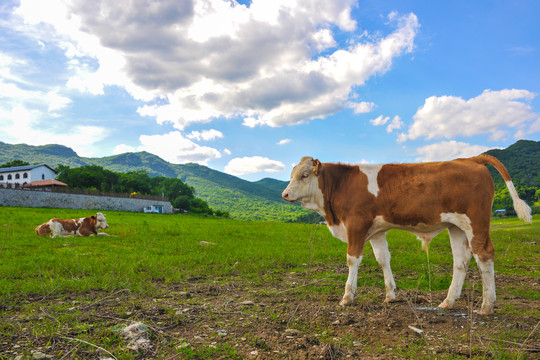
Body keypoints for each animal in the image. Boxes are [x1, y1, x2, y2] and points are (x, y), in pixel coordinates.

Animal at [282, 155, 532, 316]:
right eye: (292, 174)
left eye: (305, 175)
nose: (285, 194)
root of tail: (470, 159)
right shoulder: (376, 231)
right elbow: (383, 259)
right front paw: (390, 295)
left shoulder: (356, 225)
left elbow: (352, 260)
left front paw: (347, 297)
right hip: (457, 227)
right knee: (461, 261)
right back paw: (448, 302)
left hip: (476, 222)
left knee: (485, 255)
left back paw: (487, 306)